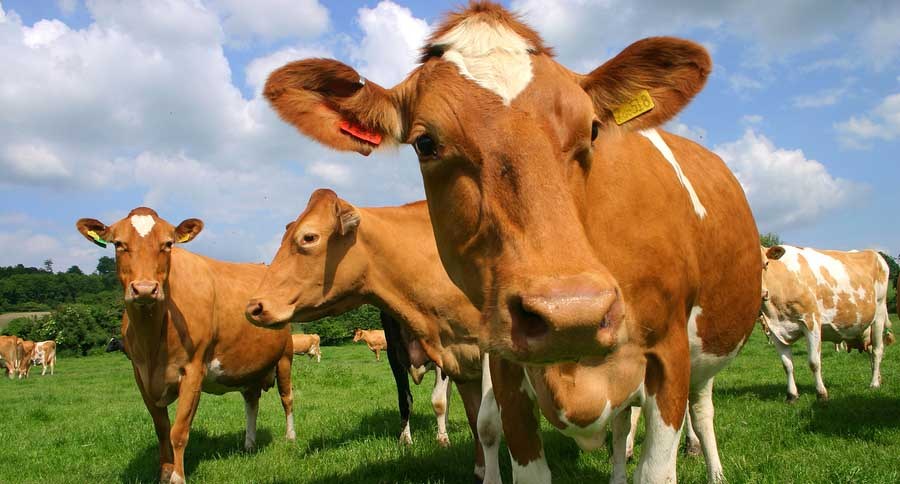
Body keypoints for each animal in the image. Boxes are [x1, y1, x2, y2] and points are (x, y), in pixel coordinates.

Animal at [76, 207, 294, 484]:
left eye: (168, 244)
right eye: (118, 244)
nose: (145, 289)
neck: (154, 343)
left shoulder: (193, 371)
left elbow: (179, 431)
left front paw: (178, 477)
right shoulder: (140, 376)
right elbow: (161, 429)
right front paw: (164, 472)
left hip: (285, 356)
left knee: (287, 397)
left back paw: (290, 437)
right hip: (250, 366)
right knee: (251, 402)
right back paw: (249, 444)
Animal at [245, 190, 495, 482]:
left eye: (308, 237)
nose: (254, 307)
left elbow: (442, 402)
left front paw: (443, 439)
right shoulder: (399, 355)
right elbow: (407, 401)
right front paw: (405, 439)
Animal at [760, 245, 891, 402]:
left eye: (766, 263)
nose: (762, 293)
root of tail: (874, 252)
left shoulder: (812, 322)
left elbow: (814, 362)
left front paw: (821, 393)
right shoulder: (775, 330)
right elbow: (787, 365)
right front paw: (791, 395)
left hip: (879, 312)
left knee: (877, 350)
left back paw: (874, 383)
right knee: (870, 350)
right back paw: (879, 378)